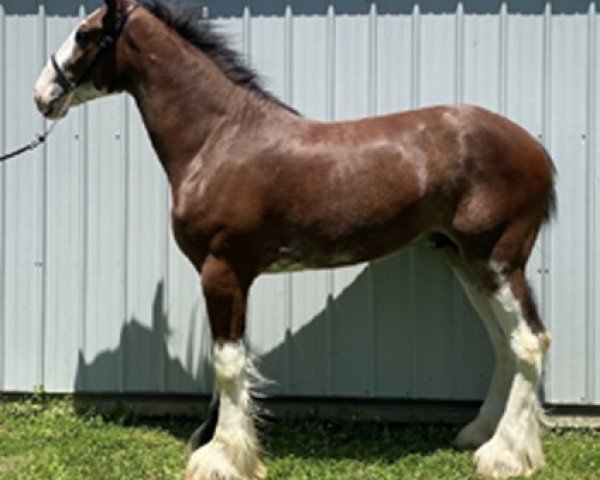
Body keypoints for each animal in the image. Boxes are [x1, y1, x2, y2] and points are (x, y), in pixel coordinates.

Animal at [32, 1, 556, 478]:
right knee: (504, 342)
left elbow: (227, 363)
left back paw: (505, 456)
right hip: (463, 260)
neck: (218, 139)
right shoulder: (227, 277)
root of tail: (534, 148)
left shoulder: (223, 271)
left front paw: (223, 458)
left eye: (85, 33)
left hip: (495, 259)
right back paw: (481, 433)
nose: (41, 94)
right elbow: (227, 361)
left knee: (528, 341)